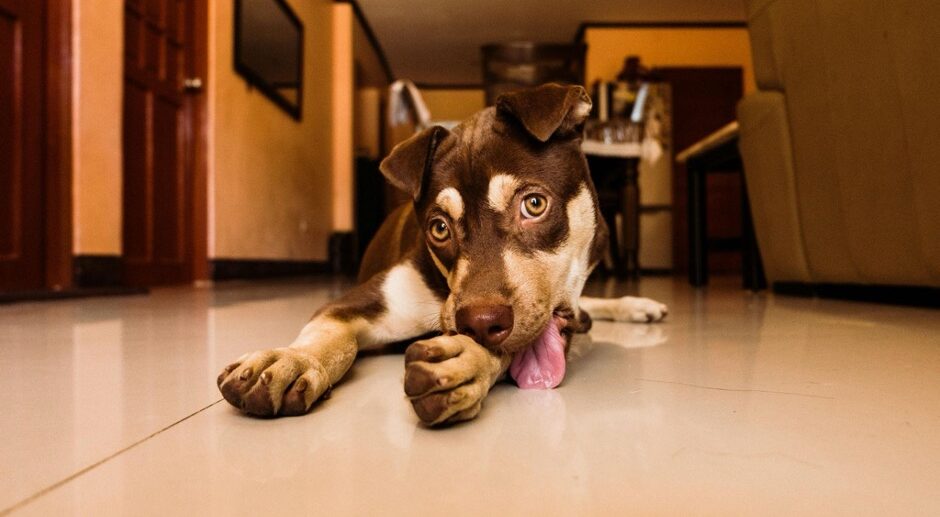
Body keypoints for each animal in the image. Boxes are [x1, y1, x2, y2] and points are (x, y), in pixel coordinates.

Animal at [217, 83, 668, 424]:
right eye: (439, 228)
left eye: (534, 204)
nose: (480, 321)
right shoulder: (354, 303)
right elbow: (330, 336)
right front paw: (290, 359)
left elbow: (510, 344)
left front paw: (464, 362)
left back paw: (635, 305)